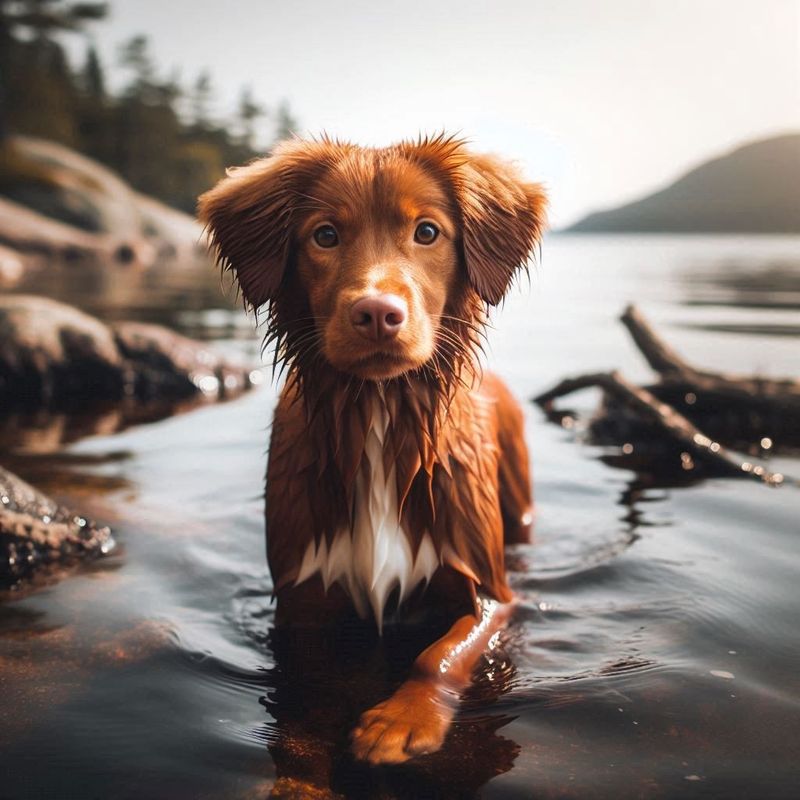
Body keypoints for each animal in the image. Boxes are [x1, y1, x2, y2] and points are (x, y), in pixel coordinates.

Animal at [198, 134, 548, 764]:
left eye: (427, 232)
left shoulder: (490, 592)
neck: (381, 415)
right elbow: (312, 691)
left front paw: (401, 721)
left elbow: (440, 654)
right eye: (325, 235)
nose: (378, 313)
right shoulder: (301, 602)